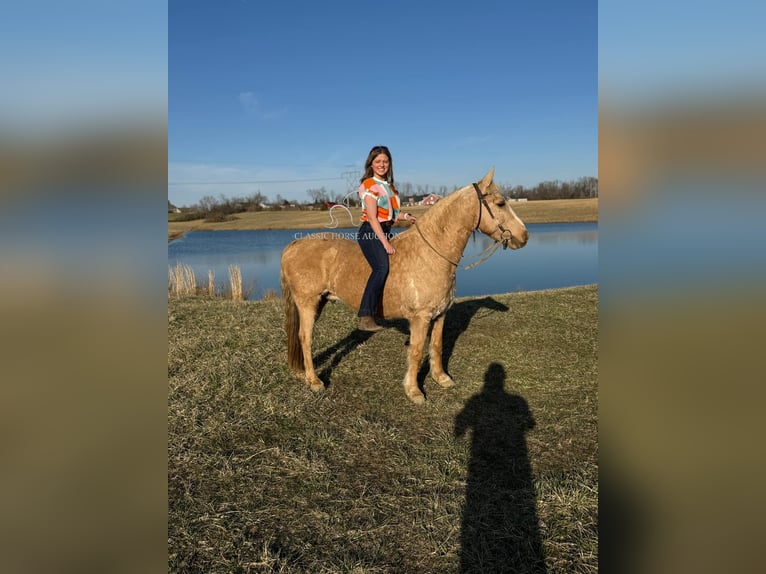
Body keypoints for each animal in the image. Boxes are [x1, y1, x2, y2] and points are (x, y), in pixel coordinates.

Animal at [280, 169, 528, 404]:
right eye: (500, 203)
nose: (524, 236)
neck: (430, 253)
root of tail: (294, 244)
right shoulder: (420, 318)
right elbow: (417, 352)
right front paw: (414, 390)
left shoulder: (439, 315)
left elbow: (436, 346)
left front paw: (441, 378)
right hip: (308, 304)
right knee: (305, 338)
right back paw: (314, 380)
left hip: (320, 302)